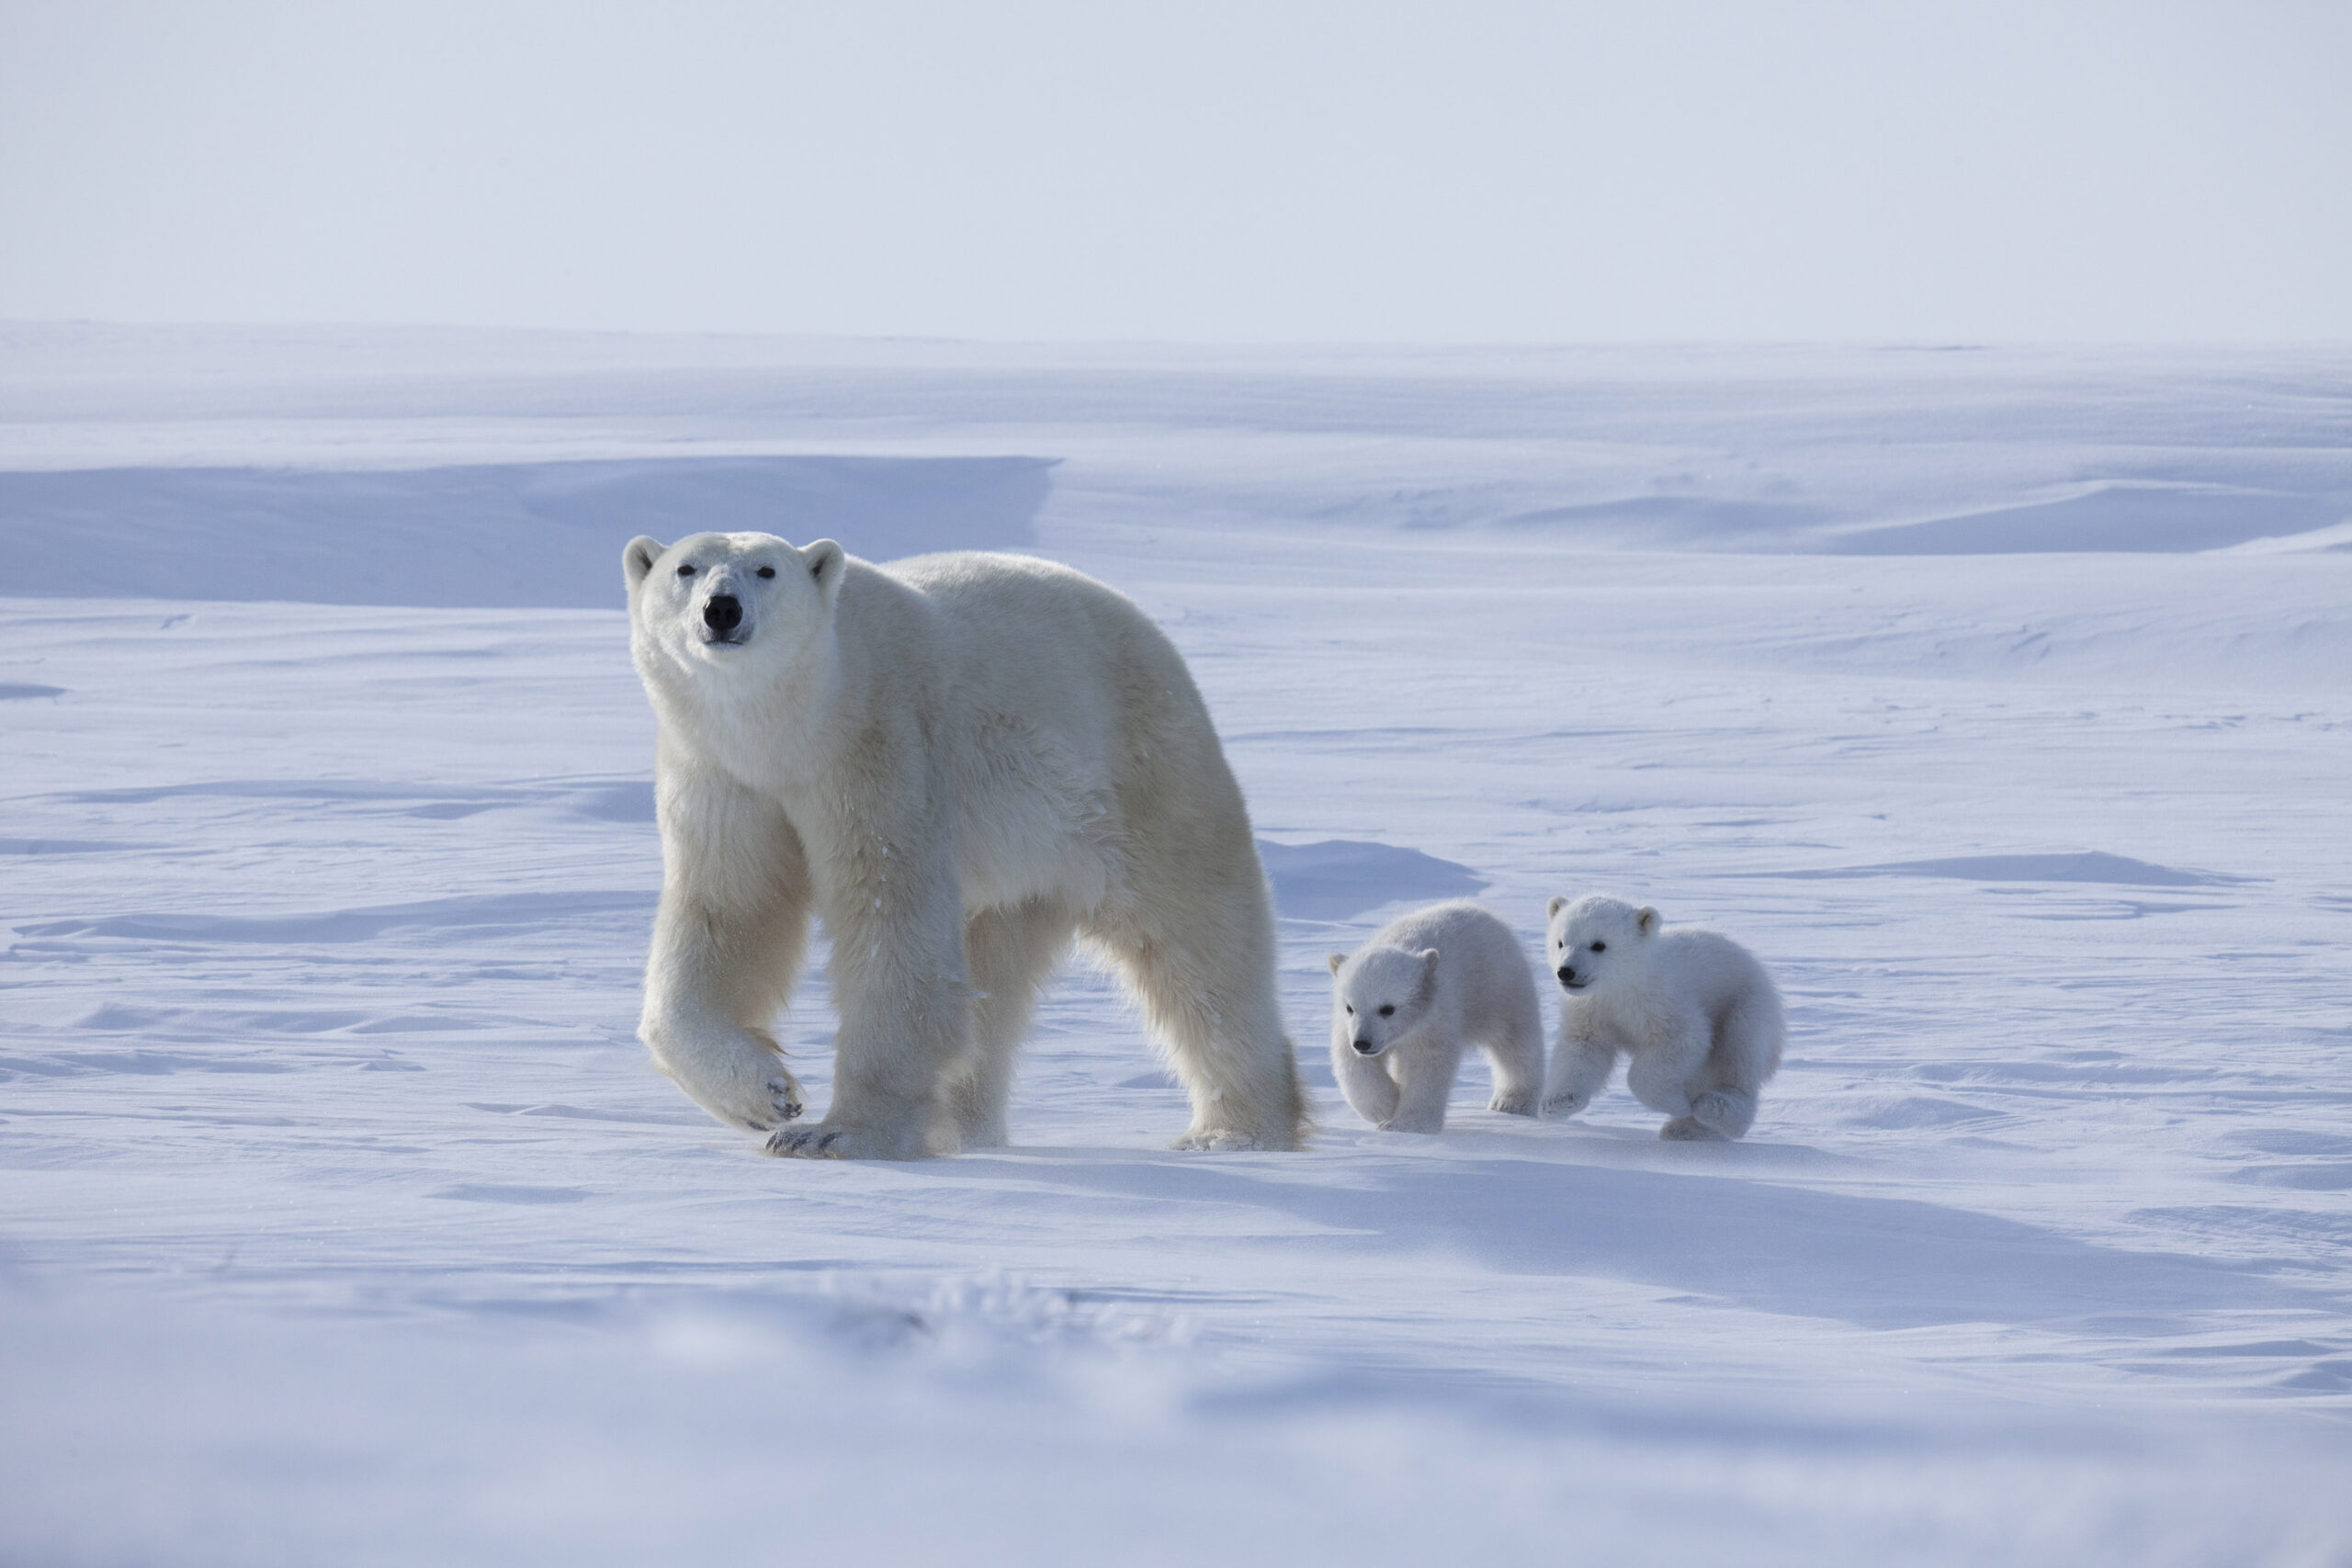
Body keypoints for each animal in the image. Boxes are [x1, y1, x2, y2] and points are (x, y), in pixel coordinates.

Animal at [620, 533, 1307, 1161]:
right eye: (686, 568)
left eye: (766, 569)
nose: (722, 609)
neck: (794, 730)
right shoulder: (723, 774)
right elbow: (729, 912)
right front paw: (762, 1095)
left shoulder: (880, 748)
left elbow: (890, 922)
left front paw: (834, 1133)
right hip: (1019, 874)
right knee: (992, 980)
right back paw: (963, 1128)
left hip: (1135, 778)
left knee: (1197, 943)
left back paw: (1234, 1130)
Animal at [1336, 902, 1552, 1133]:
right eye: (1350, 1007)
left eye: (1387, 1009)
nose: (1362, 1043)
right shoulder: (1347, 1026)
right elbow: (1352, 1061)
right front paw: (1386, 1105)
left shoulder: (1435, 1018)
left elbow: (1426, 1064)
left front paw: (1406, 1124)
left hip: (1500, 990)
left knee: (1516, 1044)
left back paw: (1511, 1103)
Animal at [1543, 893, 1778, 1142]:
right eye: (1561, 942)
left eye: (1598, 945)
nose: (1566, 971)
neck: (1625, 984)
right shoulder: (1593, 1009)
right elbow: (1582, 1048)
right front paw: (1557, 1103)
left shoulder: (1663, 1003)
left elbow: (1684, 1039)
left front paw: (1678, 1104)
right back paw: (1685, 1129)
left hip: (1746, 1003)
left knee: (1738, 1055)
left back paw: (1713, 1108)